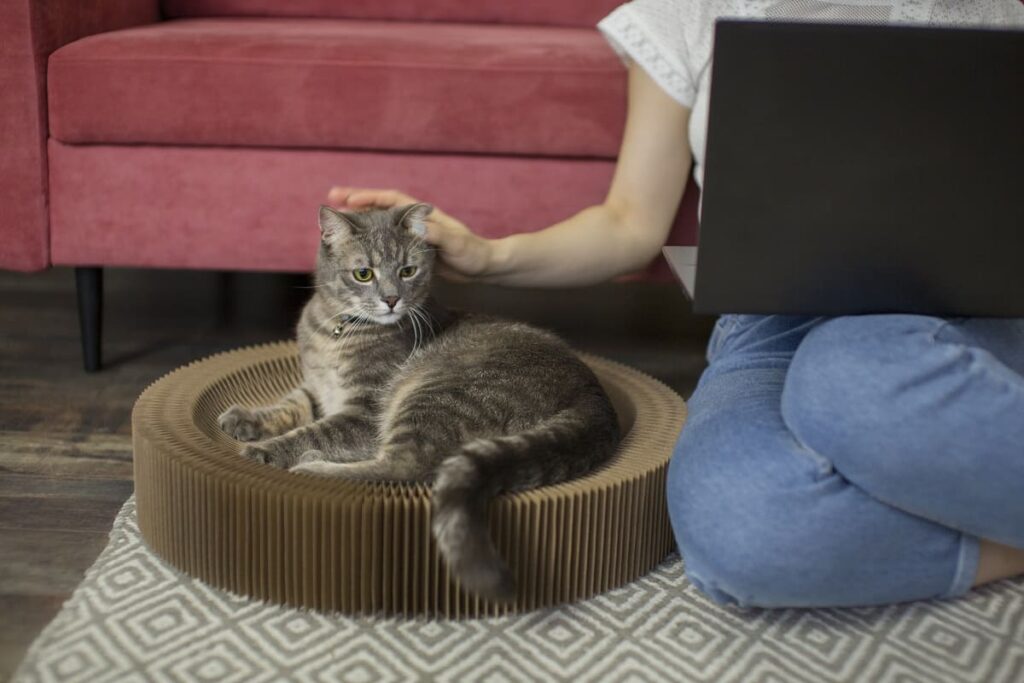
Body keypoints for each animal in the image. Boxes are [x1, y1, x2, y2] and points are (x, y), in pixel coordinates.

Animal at [217, 205, 618, 602]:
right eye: (364, 274)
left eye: (407, 271)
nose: (392, 299)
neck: (335, 330)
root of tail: (593, 395)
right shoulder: (318, 389)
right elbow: (289, 405)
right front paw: (243, 419)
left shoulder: (363, 411)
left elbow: (314, 432)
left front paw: (267, 449)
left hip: (435, 393)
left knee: (405, 465)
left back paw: (312, 466)